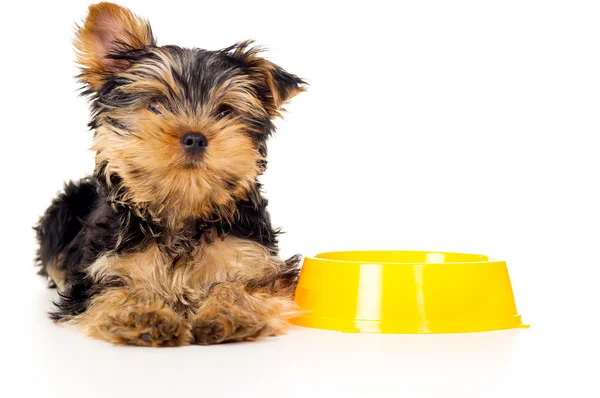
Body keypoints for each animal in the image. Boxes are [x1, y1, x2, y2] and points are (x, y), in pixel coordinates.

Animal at [33, 2, 304, 346]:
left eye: (225, 111)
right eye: (156, 104)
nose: (195, 138)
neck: (182, 210)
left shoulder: (253, 261)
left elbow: (246, 287)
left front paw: (229, 313)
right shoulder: (100, 271)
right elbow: (116, 290)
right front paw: (143, 315)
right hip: (64, 209)